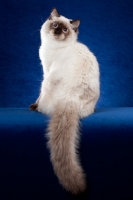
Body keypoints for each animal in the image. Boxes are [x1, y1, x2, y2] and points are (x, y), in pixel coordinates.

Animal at [29, 8, 99, 195]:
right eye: (55, 25)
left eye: (65, 30)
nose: (58, 32)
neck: (52, 46)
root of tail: (70, 99)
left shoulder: (46, 70)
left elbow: (38, 98)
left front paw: (33, 106)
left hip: (46, 82)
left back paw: (37, 109)